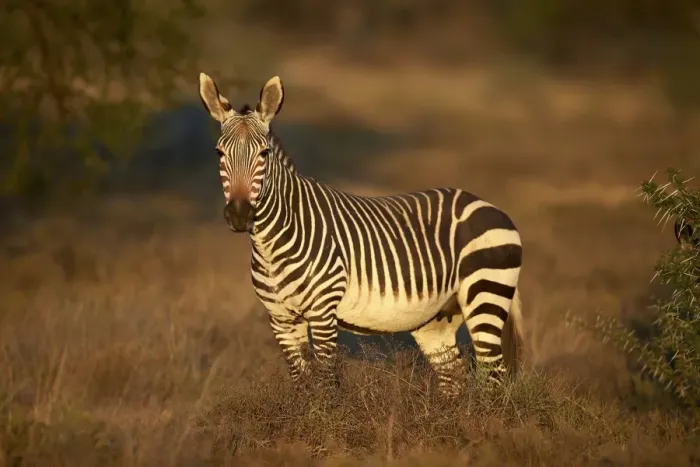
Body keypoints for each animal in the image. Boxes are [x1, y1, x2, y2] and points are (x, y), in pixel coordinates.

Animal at [198, 72, 525, 396]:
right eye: (219, 153)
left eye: (264, 154)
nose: (239, 215)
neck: (271, 244)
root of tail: (488, 205)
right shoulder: (280, 319)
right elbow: (302, 387)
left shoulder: (323, 312)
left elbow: (326, 385)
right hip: (437, 319)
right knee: (454, 375)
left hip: (485, 294)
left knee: (493, 375)